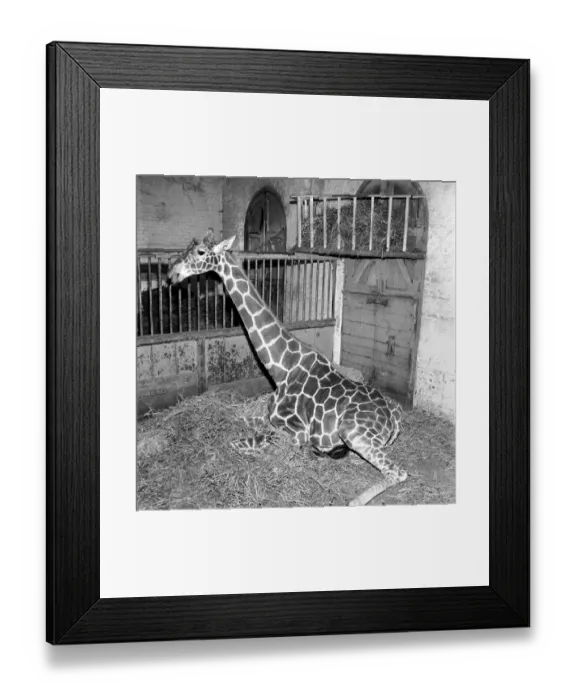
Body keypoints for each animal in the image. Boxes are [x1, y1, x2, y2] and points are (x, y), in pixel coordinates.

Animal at [167, 232, 408, 506]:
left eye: (201, 252)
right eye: (188, 247)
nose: (171, 273)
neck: (281, 368)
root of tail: (394, 418)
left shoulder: (296, 432)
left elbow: (237, 444)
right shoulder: (267, 417)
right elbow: (234, 416)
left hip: (353, 432)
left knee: (397, 471)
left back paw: (354, 499)